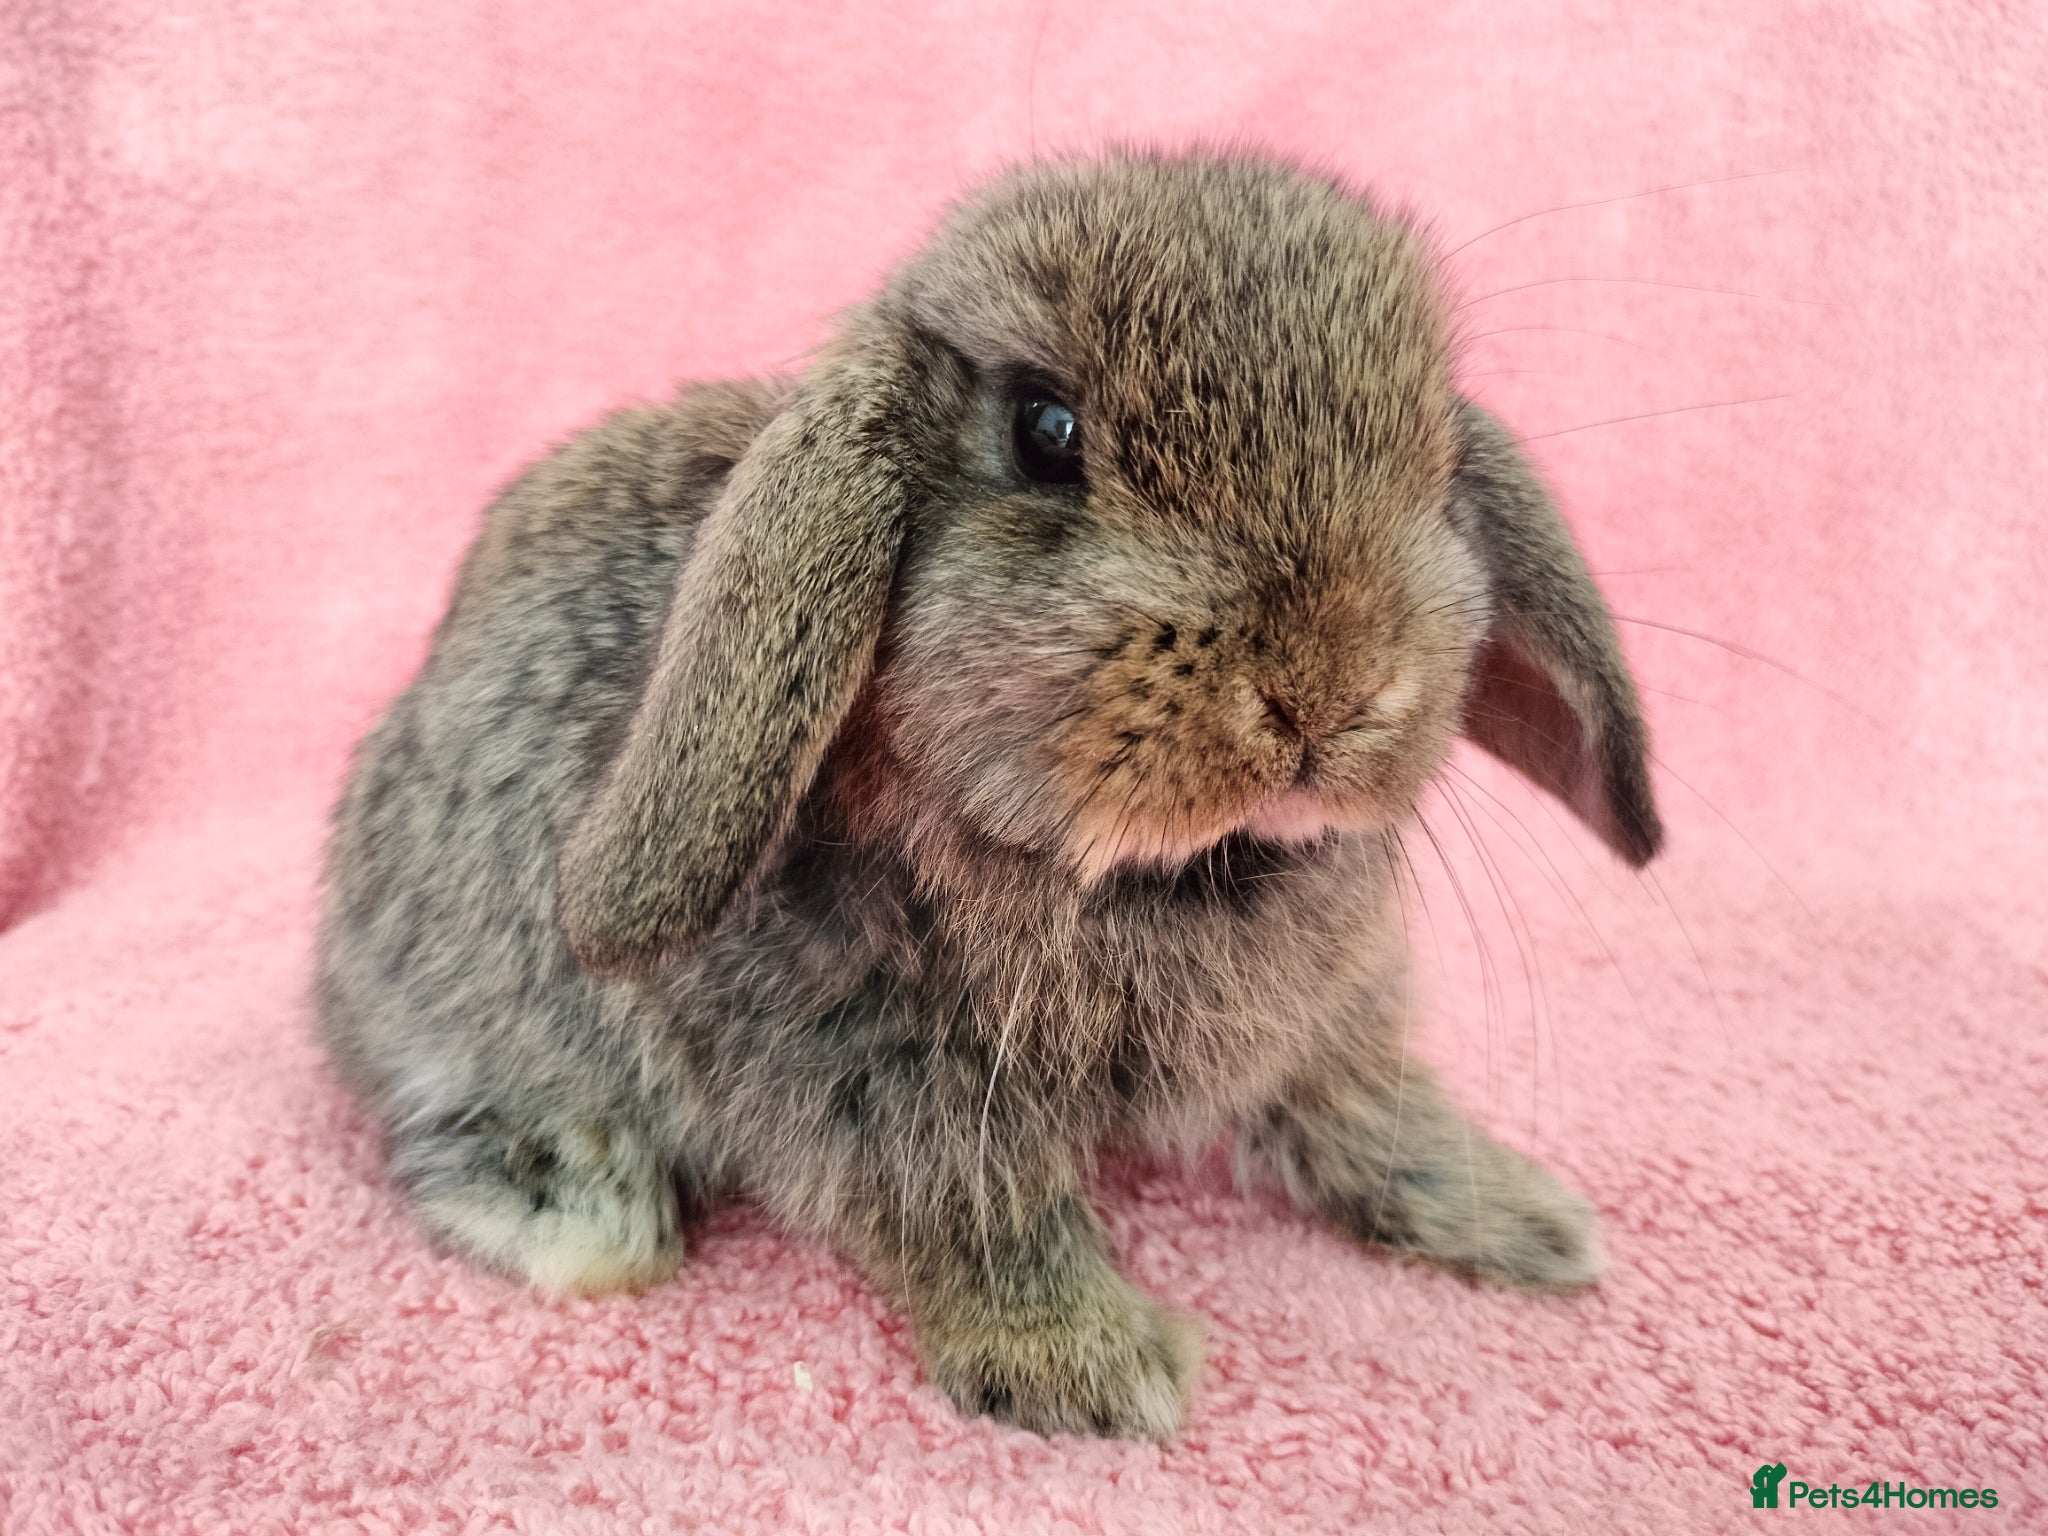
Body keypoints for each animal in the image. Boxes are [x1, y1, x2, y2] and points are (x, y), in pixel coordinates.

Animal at [315, 147, 1662, 1441]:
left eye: (1433, 457)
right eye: (1045, 430)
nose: (1326, 689)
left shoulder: (1327, 1026)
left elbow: (1358, 1107)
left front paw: (1517, 1217)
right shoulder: (884, 1070)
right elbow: (977, 1207)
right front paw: (1090, 1367)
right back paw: (578, 1213)